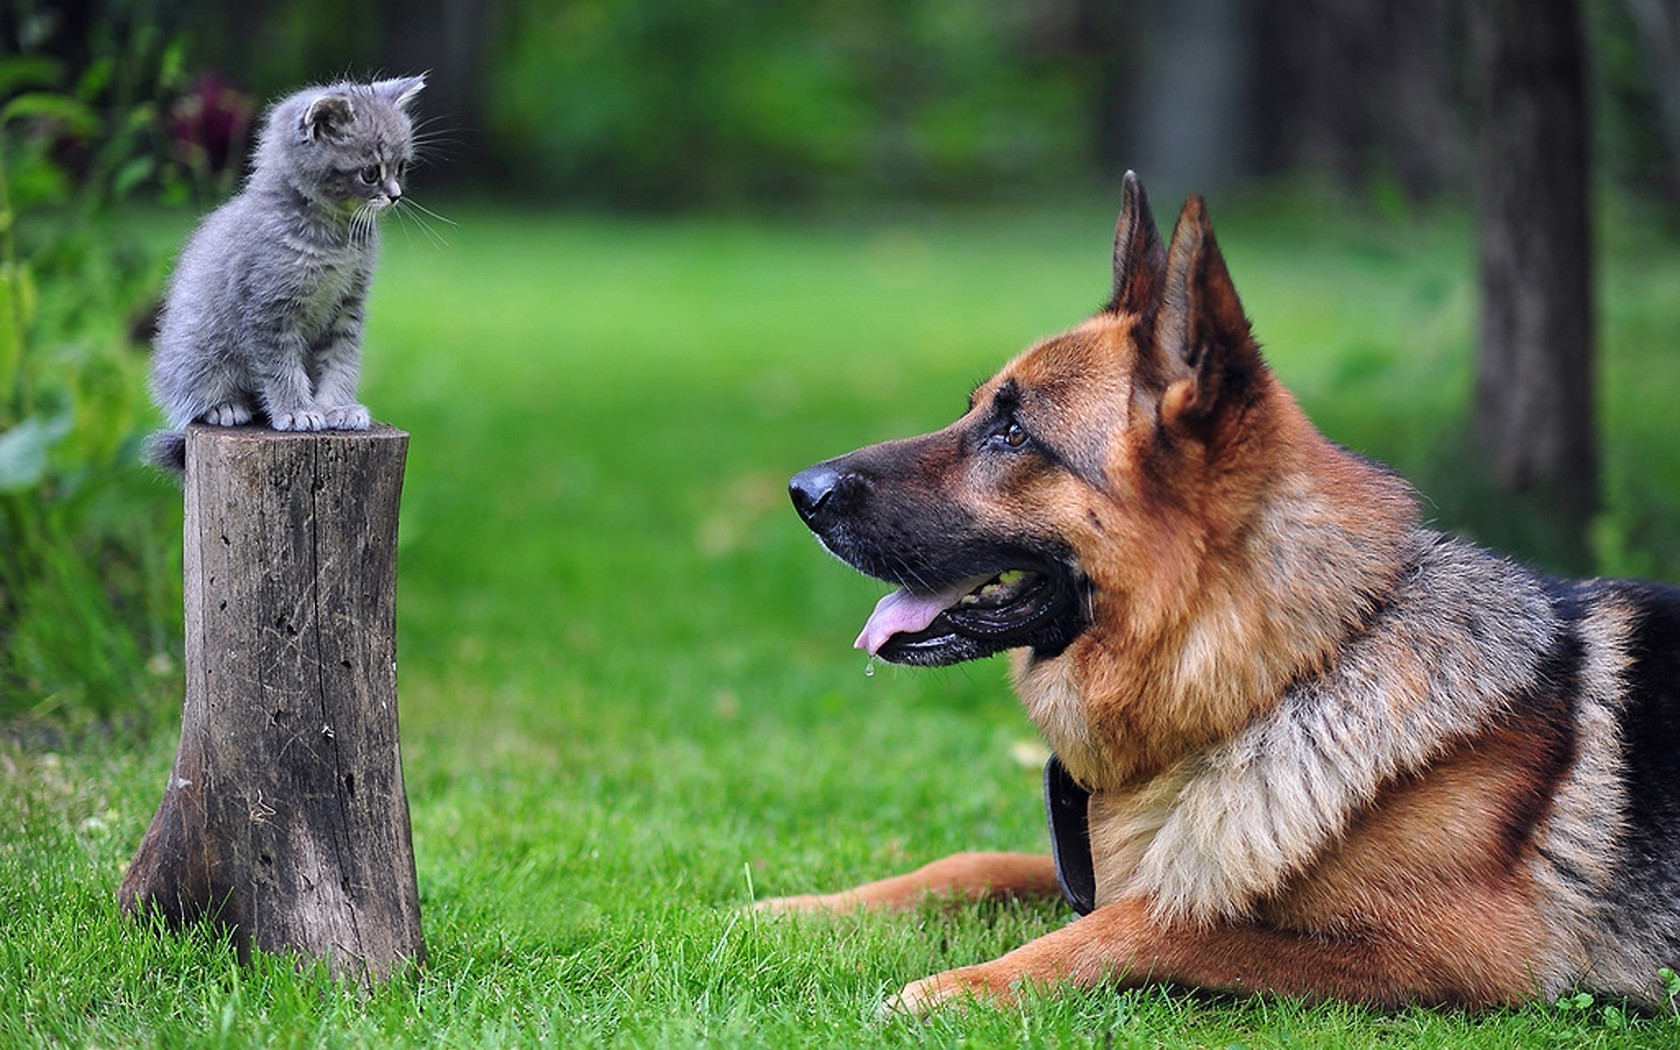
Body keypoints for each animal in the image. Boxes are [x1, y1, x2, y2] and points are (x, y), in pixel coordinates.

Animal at [144, 76, 426, 473]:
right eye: (371, 172)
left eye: (400, 168)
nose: (396, 195)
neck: (334, 238)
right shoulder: (268, 309)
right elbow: (281, 368)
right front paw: (297, 412)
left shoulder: (348, 306)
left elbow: (340, 359)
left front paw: (337, 407)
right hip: (195, 347)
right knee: (189, 394)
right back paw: (224, 406)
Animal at [769, 173, 1680, 1014]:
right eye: (977, 415)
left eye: (1014, 434)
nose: (801, 492)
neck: (1287, 674)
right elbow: (978, 861)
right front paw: (800, 907)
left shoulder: (1463, 949)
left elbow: (1157, 920)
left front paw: (960, 984)